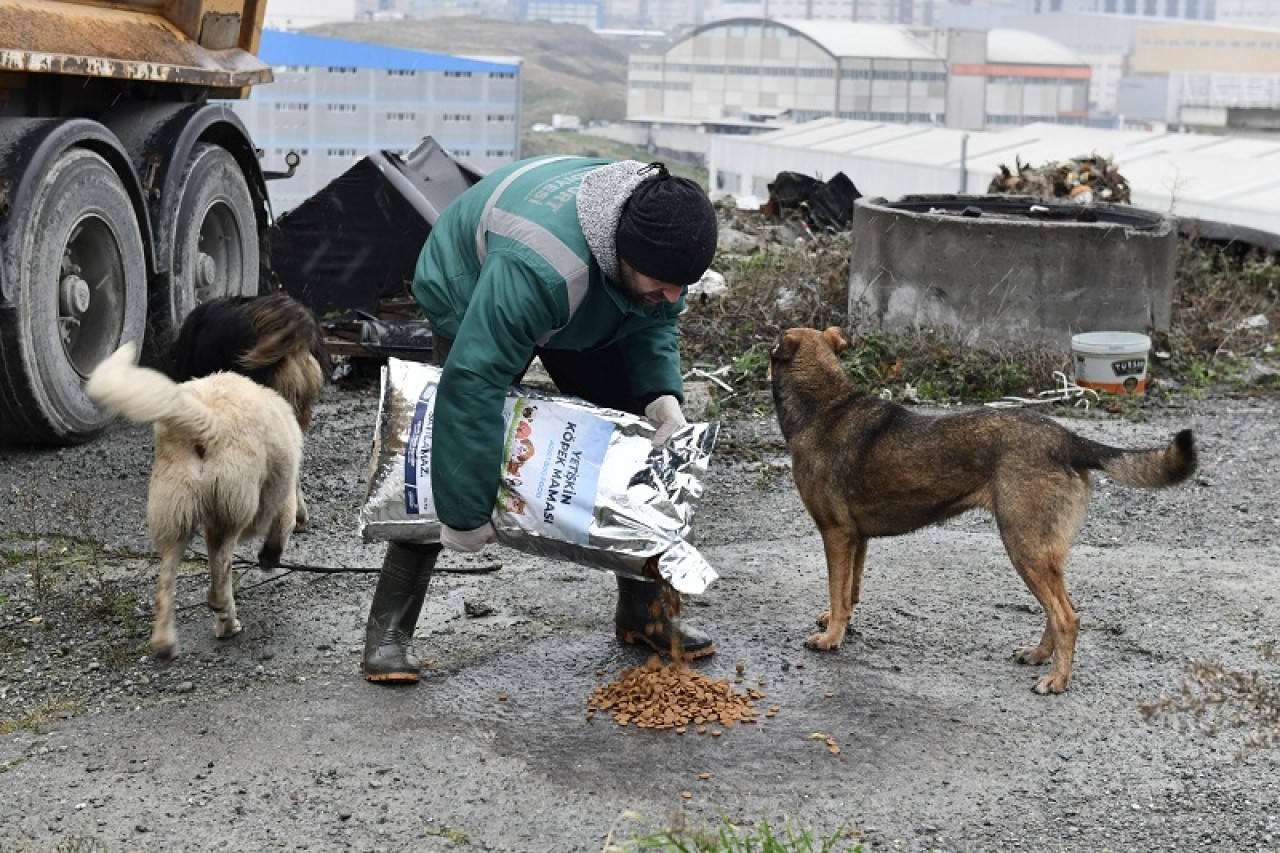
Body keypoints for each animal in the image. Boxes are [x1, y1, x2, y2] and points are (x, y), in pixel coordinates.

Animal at [87, 343, 302, 660]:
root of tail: (208, 422)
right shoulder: (283, 498)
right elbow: (282, 528)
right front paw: (269, 558)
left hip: (175, 516)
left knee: (166, 582)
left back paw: (167, 643)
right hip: (235, 508)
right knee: (223, 565)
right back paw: (220, 608)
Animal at [768, 325, 1198, 691]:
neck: (827, 404)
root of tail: (1068, 440)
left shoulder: (836, 534)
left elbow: (837, 591)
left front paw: (830, 637)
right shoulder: (857, 538)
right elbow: (849, 592)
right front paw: (837, 621)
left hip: (1023, 546)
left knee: (1066, 616)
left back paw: (1057, 680)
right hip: (1043, 552)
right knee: (1061, 609)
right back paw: (1039, 655)